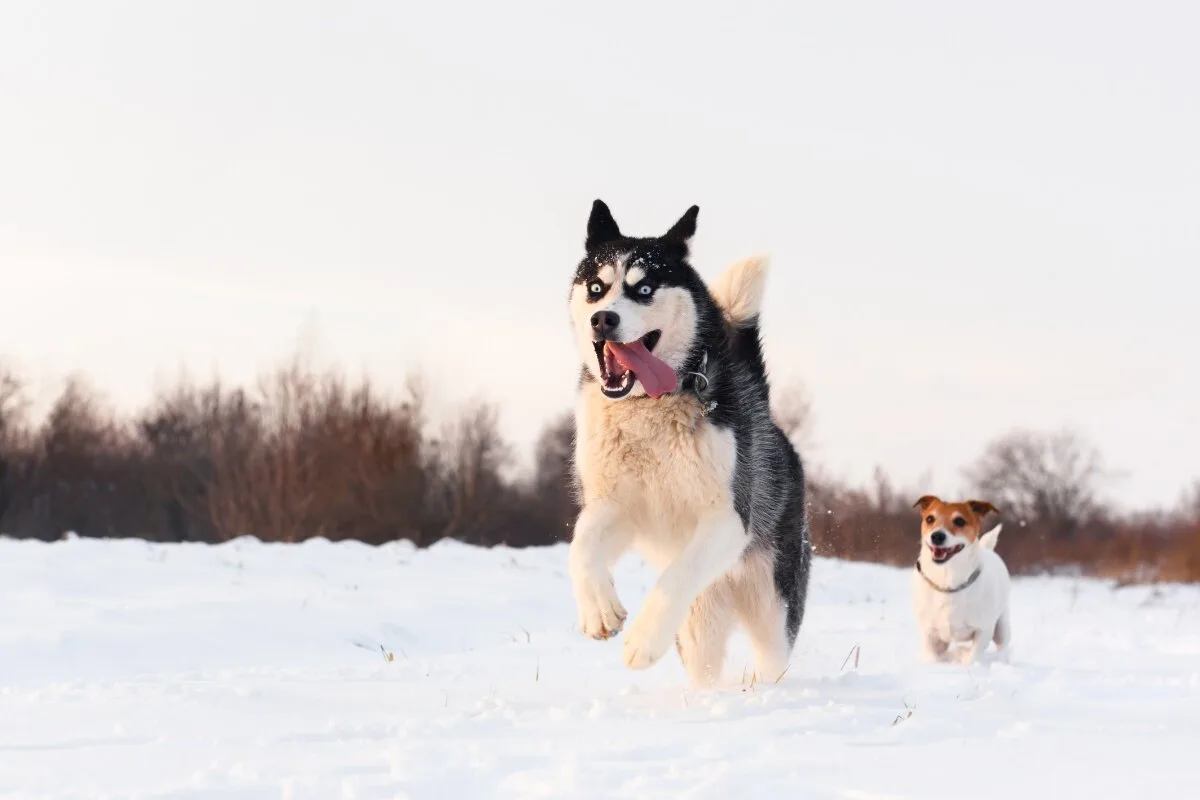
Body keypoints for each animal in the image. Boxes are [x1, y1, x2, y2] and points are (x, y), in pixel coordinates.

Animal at [907, 494, 1012, 662]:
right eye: (930, 519)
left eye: (959, 521)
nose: (937, 536)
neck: (948, 580)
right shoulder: (930, 633)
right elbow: (933, 655)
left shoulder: (984, 629)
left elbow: (972, 657)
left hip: (1001, 628)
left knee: (1003, 646)